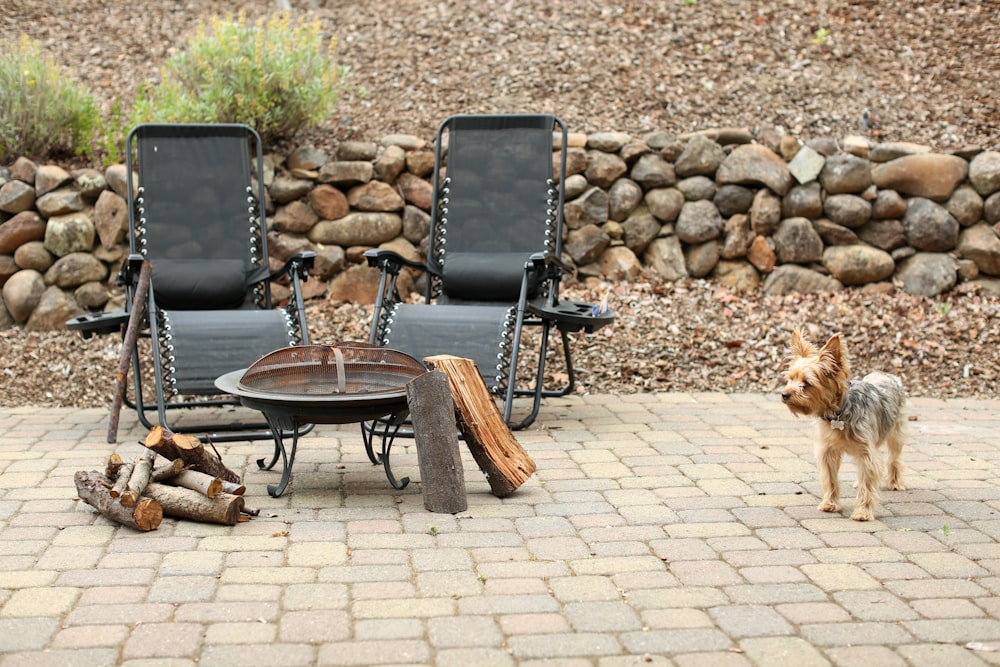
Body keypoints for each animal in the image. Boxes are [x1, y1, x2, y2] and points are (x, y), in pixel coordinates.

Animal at [780, 332, 908, 524]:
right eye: (790, 379)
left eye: (807, 383)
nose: (784, 394)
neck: (838, 413)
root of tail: (884, 373)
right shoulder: (828, 451)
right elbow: (831, 478)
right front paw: (830, 503)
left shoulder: (866, 451)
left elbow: (868, 481)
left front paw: (863, 512)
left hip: (895, 430)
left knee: (894, 458)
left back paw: (895, 482)